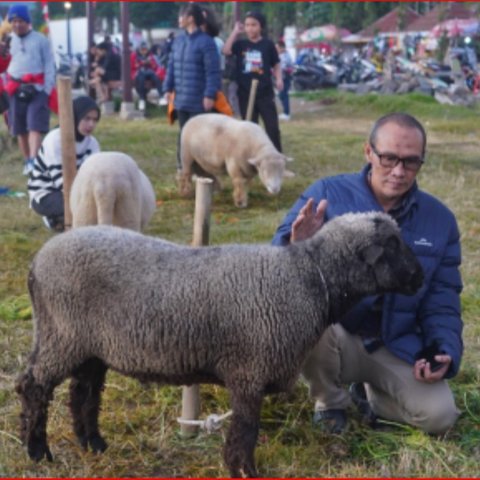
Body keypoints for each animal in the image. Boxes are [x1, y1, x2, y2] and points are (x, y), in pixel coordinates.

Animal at [16, 213, 424, 476]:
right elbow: (245, 432)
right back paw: (38, 452)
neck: (309, 277)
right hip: (60, 334)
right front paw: (244, 471)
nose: (420, 278)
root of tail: (37, 262)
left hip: (89, 346)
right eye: (392, 244)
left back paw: (93, 444)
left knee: (83, 392)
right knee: (33, 386)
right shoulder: (249, 372)